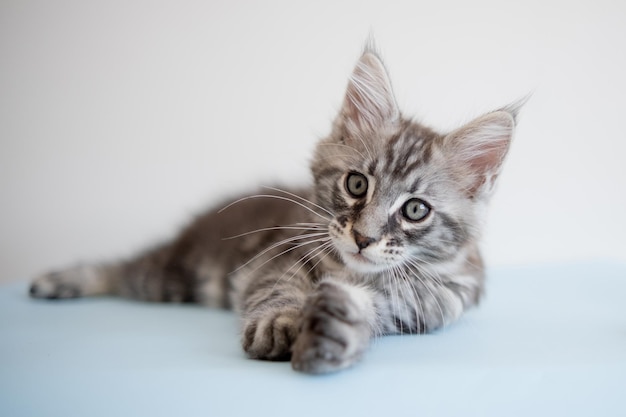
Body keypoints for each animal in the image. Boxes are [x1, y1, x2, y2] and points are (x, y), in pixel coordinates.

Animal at [29, 46, 520, 374]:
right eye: (356, 184)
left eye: (415, 210)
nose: (363, 238)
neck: (352, 272)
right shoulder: (279, 255)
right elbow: (274, 289)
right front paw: (278, 323)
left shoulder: (430, 304)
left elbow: (370, 310)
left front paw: (335, 332)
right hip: (172, 275)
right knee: (121, 268)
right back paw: (60, 281)